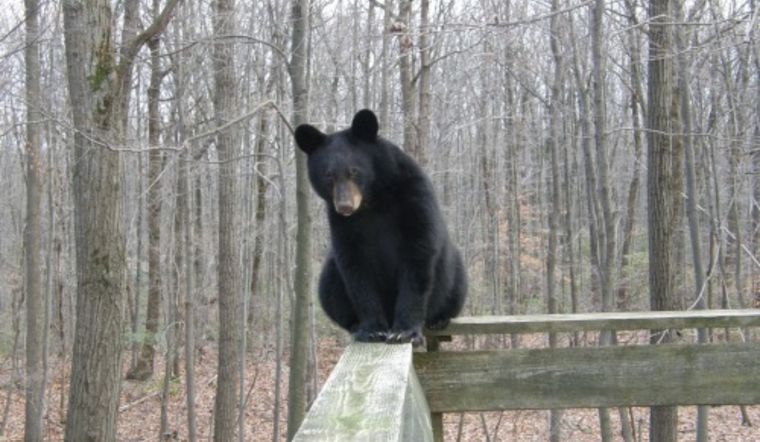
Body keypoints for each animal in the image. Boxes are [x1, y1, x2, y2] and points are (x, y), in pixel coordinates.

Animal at [294, 109, 467, 346]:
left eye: (354, 171)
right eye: (328, 175)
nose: (345, 206)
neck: (372, 201)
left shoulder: (414, 197)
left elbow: (418, 257)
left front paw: (404, 331)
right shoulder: (341, 225)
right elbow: (355, 269)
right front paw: (372, 329)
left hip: (454, 273)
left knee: (456, 286)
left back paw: (439, 319)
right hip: (330, 275)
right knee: (328, 288)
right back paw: (354, 324)